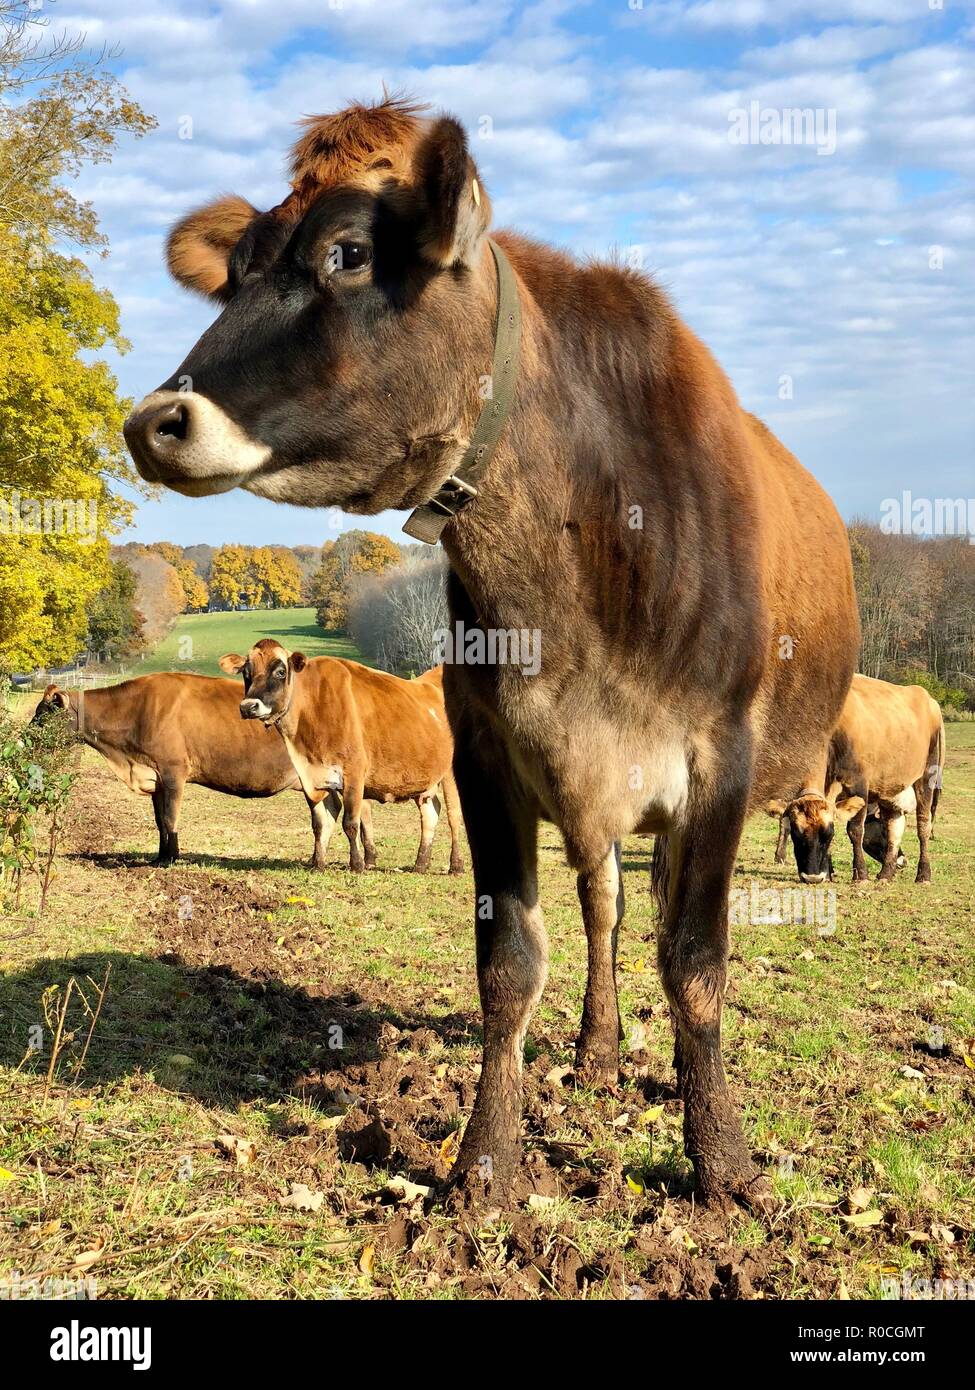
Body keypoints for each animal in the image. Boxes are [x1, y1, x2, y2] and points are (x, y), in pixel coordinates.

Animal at [31, 676, 340, 868]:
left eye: (44, 714)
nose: (26, 738)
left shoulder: (173, 773)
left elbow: (170, 819)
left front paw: (172, 858)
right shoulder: (155, 777)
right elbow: (159, 821)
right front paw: (159, 856)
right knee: (329, 818)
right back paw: (321, 862)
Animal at [217, 643, 464, 876]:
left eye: (280, 671)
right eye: (246, 672)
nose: (248, 706)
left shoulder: (354, 771)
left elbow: (350, 823)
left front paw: (357, 865)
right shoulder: (313, 776)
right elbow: (320, 823)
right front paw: (318, 864)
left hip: (450, 774)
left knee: (453, 816)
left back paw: (456, 865)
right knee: (431, 812)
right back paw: (421, 864)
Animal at [767, 674, 945, 885]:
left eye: (828, 834)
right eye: (796, 833)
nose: (812, 876)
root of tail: (928, 699)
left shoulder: (859, 784)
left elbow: (855, 829)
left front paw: (860, 873)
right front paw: (828, 873)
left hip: (927, 777)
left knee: (923, 825)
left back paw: (923, 874)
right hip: (889, 787)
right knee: (894, 826)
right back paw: (886, 873)